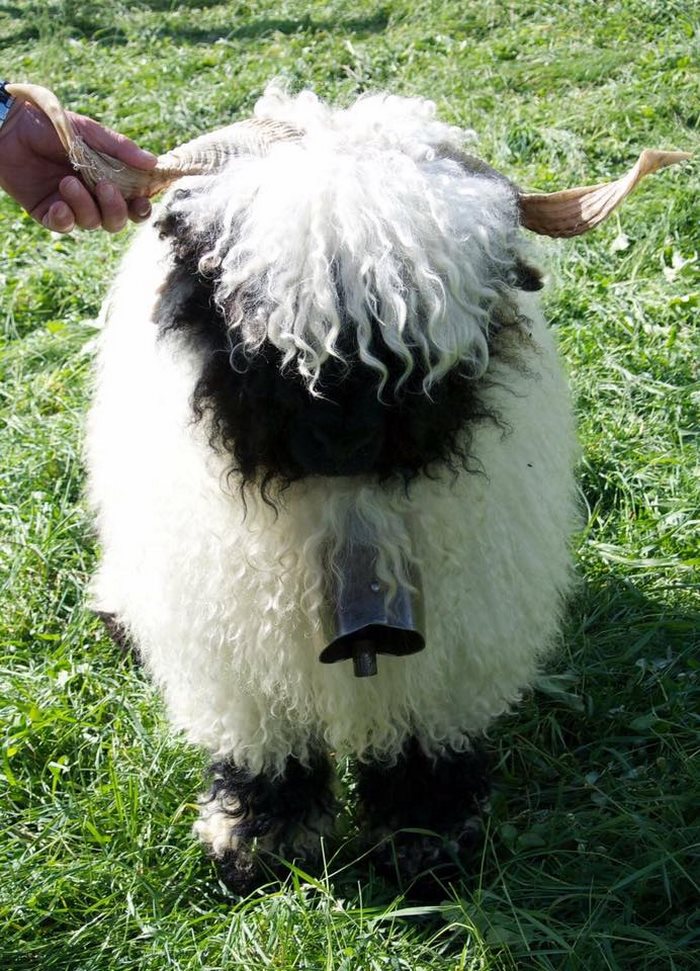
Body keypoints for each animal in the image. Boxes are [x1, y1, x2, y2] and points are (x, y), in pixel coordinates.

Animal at [17, 82, 688, 894]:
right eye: (236, 301)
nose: (343, 438)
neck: (342, 504)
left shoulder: (456, 639)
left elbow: (425, 736)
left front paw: (426, 841)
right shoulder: (235, 644)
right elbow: (263, 742)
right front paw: (258, 842)